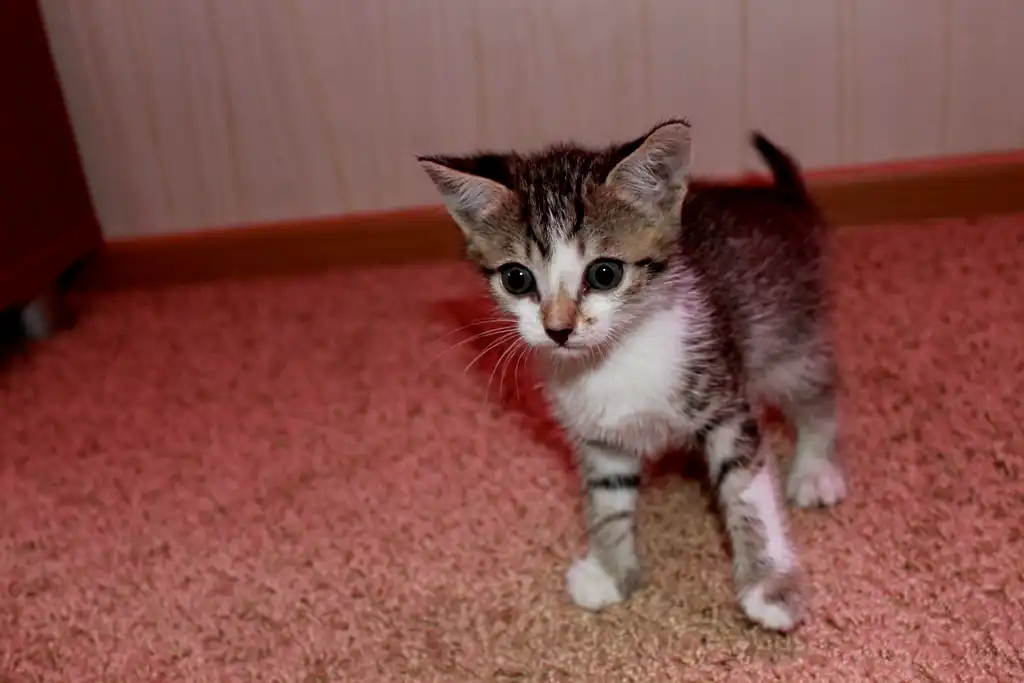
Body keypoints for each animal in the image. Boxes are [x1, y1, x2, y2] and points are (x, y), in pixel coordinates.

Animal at [417, 120, 846, 632]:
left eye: (605, 273)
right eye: (517, 278)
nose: (558, 329)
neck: (614, 359)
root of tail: (782, 201)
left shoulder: (725, 402)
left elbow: (748, 491)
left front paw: (771, 585)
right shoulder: (600, 436)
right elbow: (608, 501)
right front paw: (609, 570)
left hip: (788, 341)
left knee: (818, 393)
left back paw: (815, 469)